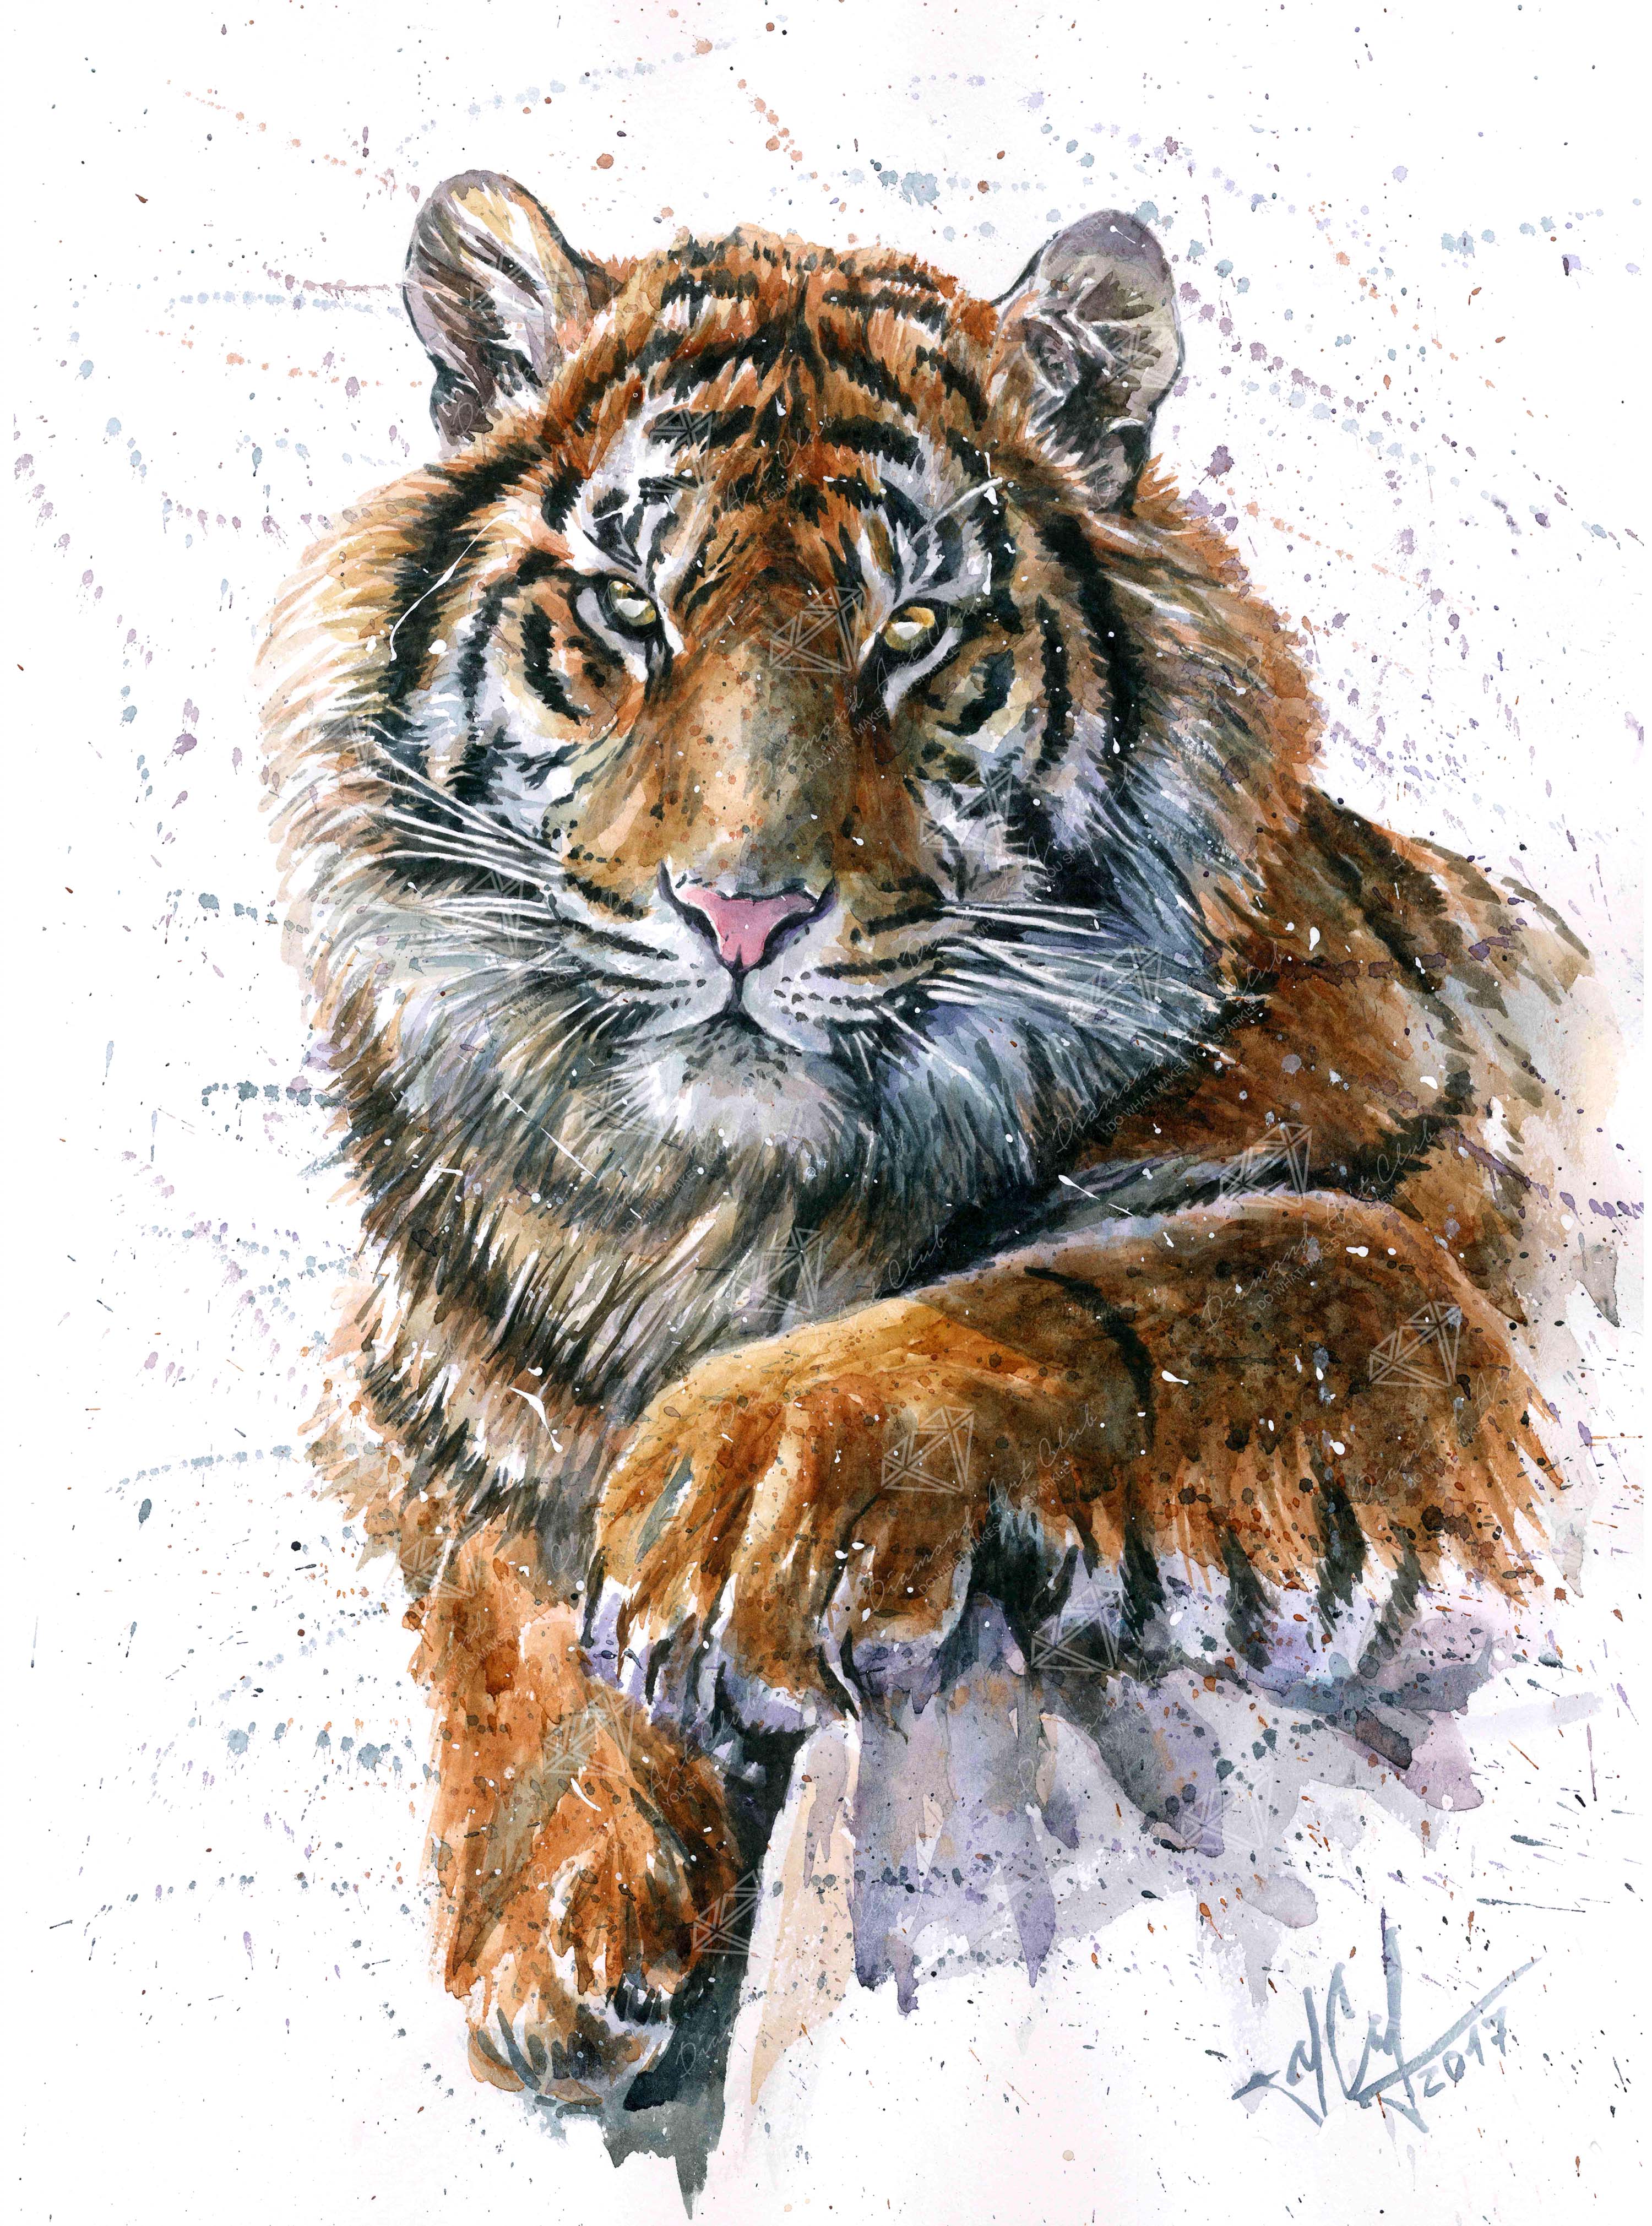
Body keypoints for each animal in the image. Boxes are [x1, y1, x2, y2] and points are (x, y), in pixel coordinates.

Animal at [261, 170, 1595, 2158]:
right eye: (627, 615)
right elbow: (496, 1586)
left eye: (913, 638)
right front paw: (555, 1922)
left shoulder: (1441, 1260)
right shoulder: (429, 1389)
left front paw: (735, 1499)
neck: (723, 1209)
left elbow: (1138, 1286)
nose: (740, 910)